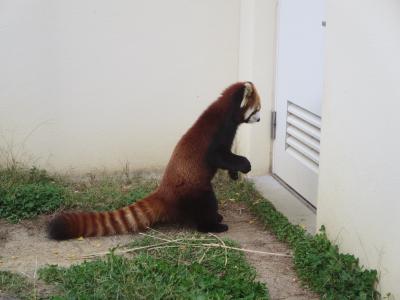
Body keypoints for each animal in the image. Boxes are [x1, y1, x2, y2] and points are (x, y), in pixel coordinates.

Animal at [47, 81, 260, 240]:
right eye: (257, 108)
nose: (259, 119)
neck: (226, 111)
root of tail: (164, 191)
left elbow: (227, 158)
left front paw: (234, 173)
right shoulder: (217, 135)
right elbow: (219, 156)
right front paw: (245, 165)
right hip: (195, 190)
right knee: (206, 204)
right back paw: (213, 225)